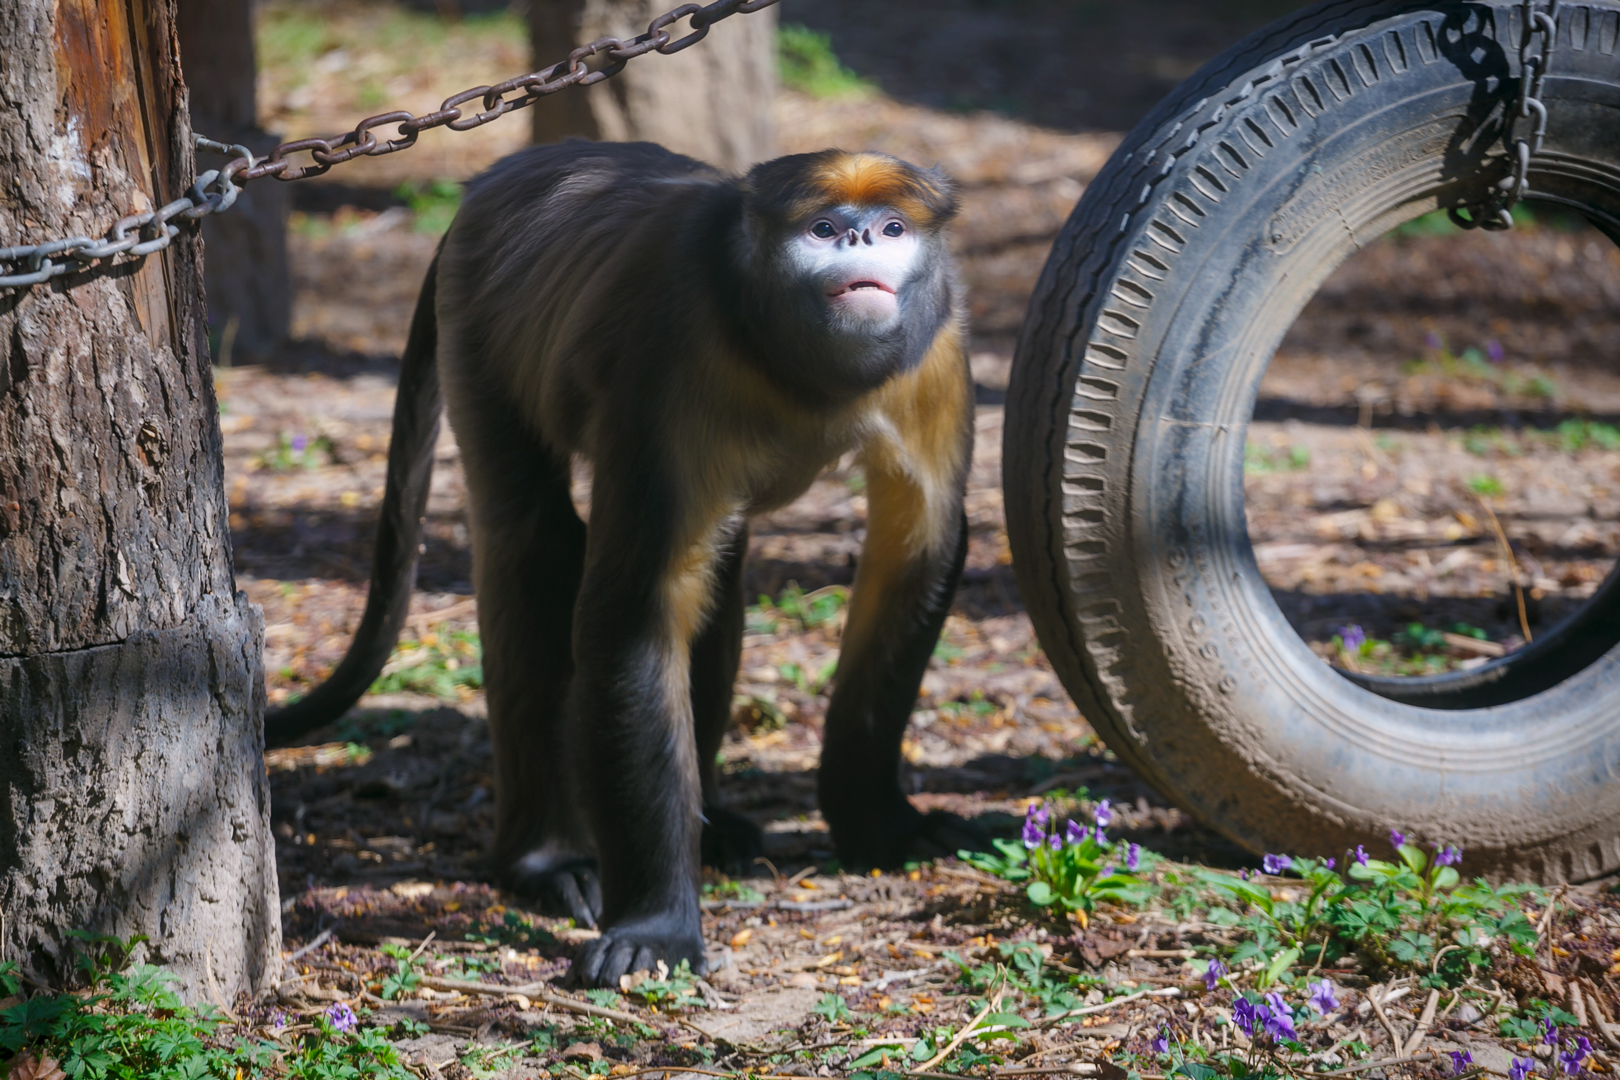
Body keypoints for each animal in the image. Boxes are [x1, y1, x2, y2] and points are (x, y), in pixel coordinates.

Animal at [264, 140, 982, 985]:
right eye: (824, 227)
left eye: (894, 226)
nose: (863, 238)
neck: (795, 367)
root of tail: (506, 176)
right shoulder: (673, 350)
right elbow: (631, 613)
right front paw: (659, 922)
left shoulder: (937, 347)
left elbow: (919, 553)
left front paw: (879, 826)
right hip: (476, 323)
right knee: (535, 546)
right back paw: (547, 859)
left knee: (717, 569)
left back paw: (709, 823)